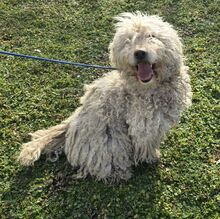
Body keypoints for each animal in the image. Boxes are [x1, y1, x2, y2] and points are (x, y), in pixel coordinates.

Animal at [18, 12, 191, 182]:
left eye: (151, 36)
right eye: (128, 40)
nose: (139, 53)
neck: (150, 87)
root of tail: (70, 127)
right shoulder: (144, 125)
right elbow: (147, 144)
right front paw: (151, 157)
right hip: (109, 142)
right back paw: (120, 173)